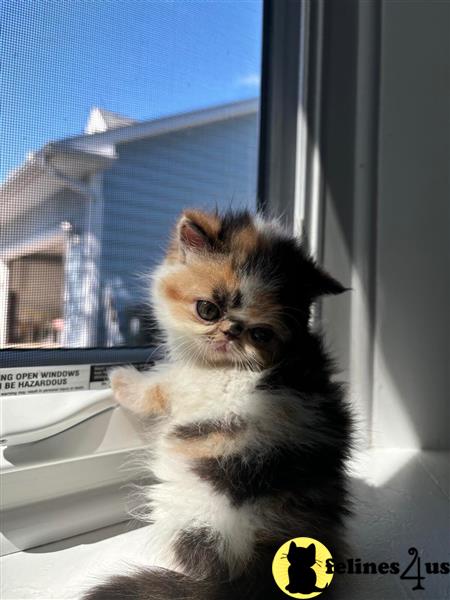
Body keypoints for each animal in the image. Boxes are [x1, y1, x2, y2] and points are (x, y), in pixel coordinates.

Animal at [83, 209, 352, 596]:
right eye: (207, 310)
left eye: (260, 333)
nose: (230, 333)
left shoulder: (187, 384)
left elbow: (156, 387)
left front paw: (120, 378)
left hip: (187, 508)